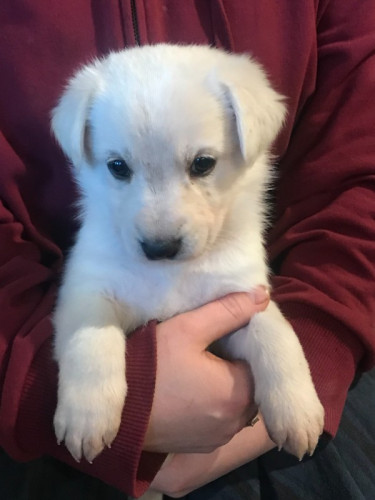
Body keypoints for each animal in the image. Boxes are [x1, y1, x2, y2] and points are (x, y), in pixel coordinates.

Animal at [51, 45, 324, 466]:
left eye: (203, 163)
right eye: (118, 167)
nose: (159, 248)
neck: (171, 275)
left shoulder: (243, 297)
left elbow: (277, 334)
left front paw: (298, 409)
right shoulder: (86, 289)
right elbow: (91, 338)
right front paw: (87, 414)